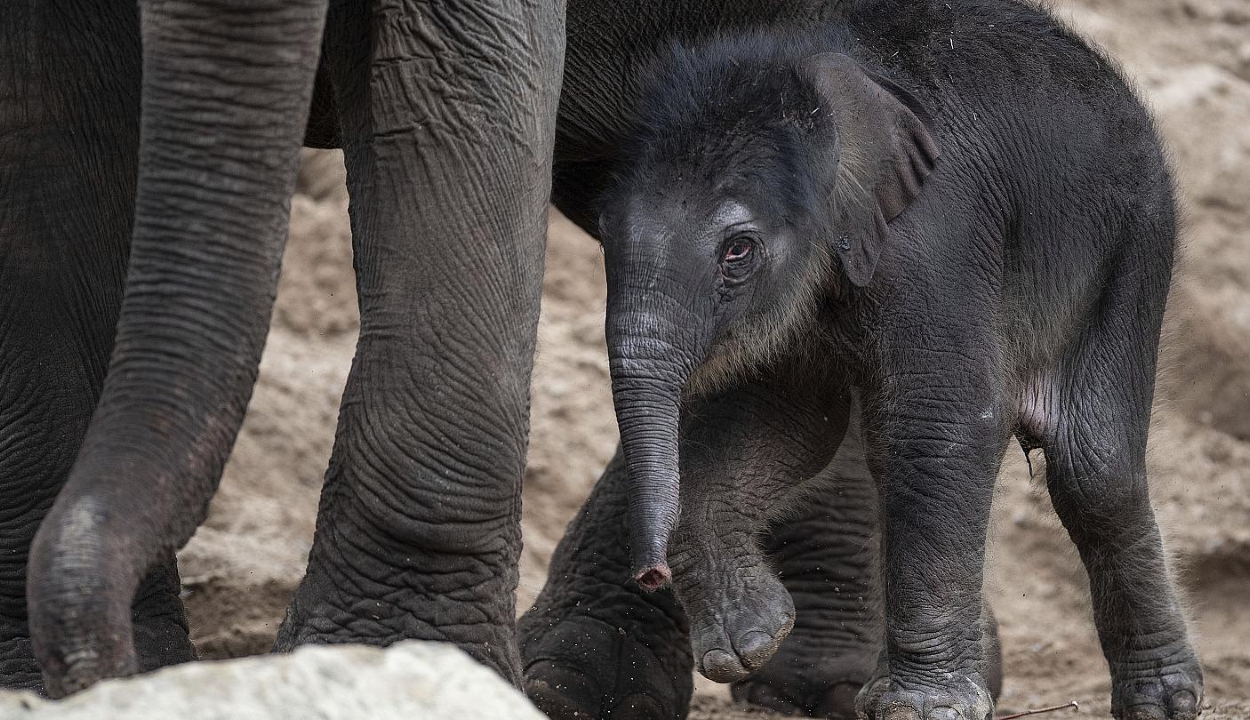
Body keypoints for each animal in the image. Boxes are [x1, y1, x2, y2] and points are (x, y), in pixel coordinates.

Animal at [600, 5, 1205, 720]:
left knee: (1094, 469)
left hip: (1136, 242)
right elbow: (793, 422)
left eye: (737, 251)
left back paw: (1164, 701)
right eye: (605, 231)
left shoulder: (935, 237)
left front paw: (924, 708)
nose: (649, 573)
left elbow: (947, 418)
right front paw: (753, 637)